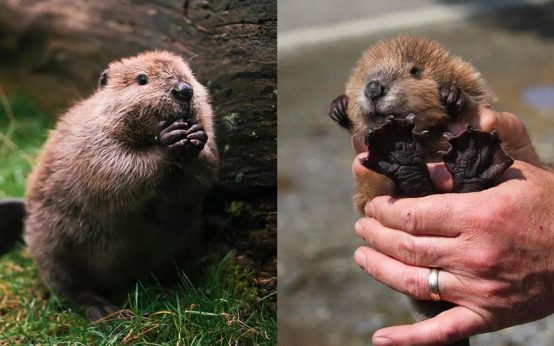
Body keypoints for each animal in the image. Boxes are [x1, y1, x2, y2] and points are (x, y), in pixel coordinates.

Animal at [24, 50, 218, 320]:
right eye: (142, 79)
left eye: (189, 74)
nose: (184, 89)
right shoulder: (92, 139)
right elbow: (115, 169)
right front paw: (169, 139)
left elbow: (200, 177)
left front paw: (196, 138)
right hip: (50, 242)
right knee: (67, 287)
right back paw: (102, 310)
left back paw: (176, 290)